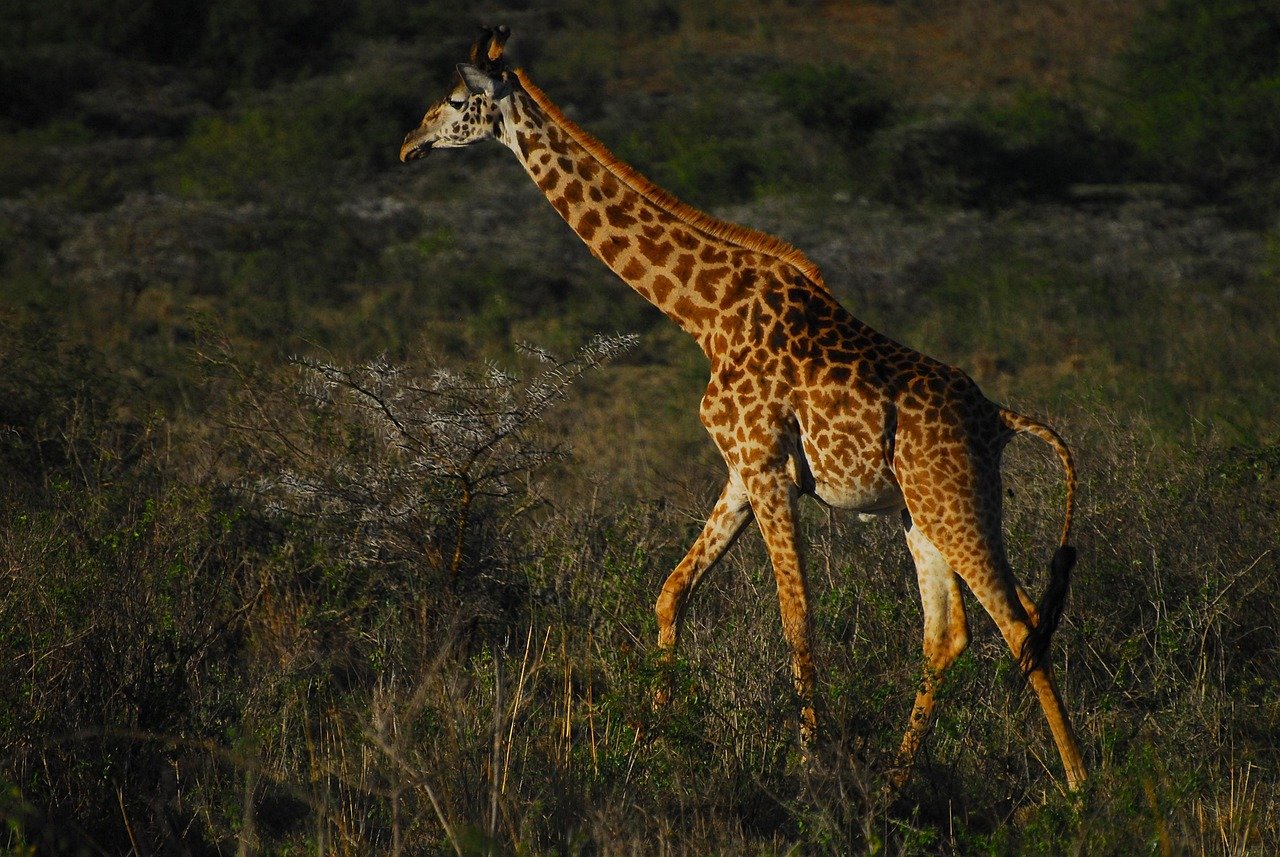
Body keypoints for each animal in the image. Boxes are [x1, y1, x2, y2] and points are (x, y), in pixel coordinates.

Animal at [400, 26, 1087, 791]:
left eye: (455, 98)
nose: (408, 145)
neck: (705, 313)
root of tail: (1000, 421)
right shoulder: (740, 469)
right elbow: (673, 591)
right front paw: (647, 740)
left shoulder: (765, 468)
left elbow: (797, 615)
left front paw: (810, 759)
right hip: (924, 512)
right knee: (951, 634)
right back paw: (895, 780)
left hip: (955, 503)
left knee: (1020, 625)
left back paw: (1080, 791)